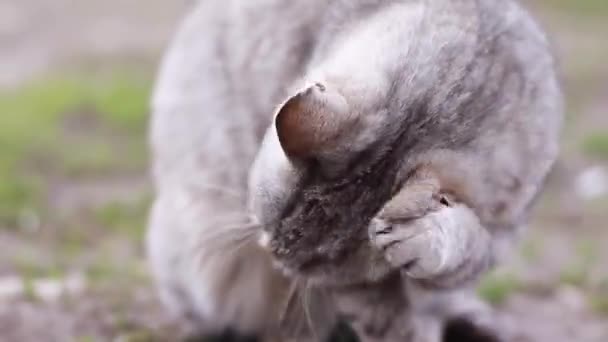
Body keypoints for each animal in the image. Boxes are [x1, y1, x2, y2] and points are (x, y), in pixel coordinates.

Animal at [146, 0, 560, 340]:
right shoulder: (360, 292)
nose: (273, 255)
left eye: (309, 265)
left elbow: (465, 253)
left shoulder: (504, 230)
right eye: (265, 225)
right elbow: (389, 319)